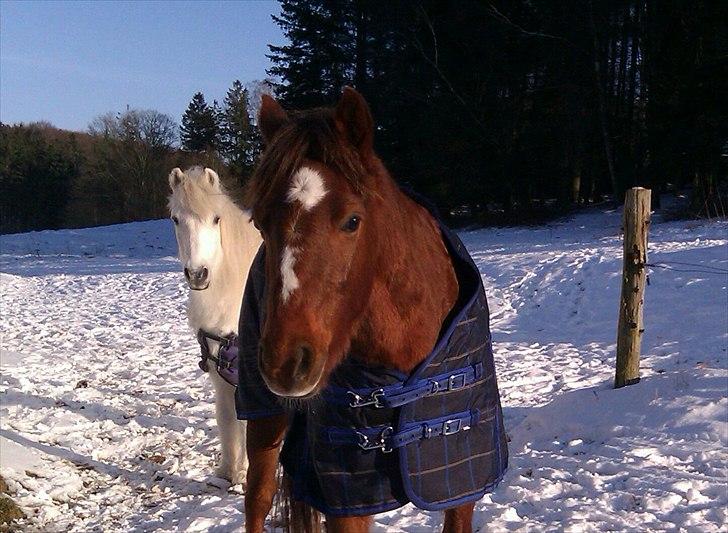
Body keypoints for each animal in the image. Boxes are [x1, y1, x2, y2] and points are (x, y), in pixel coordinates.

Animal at [167, 166, 262, 484]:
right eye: (175, 219)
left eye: (216, 219)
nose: (198, 274)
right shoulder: (220, 371)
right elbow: (226, 418)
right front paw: (227, 471)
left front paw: (244, 475)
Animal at [238, 89, 507, 533]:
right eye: (259, 223)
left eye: (352, 220)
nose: (285, 362)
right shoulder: (346, 501)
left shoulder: (458, 488)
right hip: (263, 415)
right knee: (257, 498)